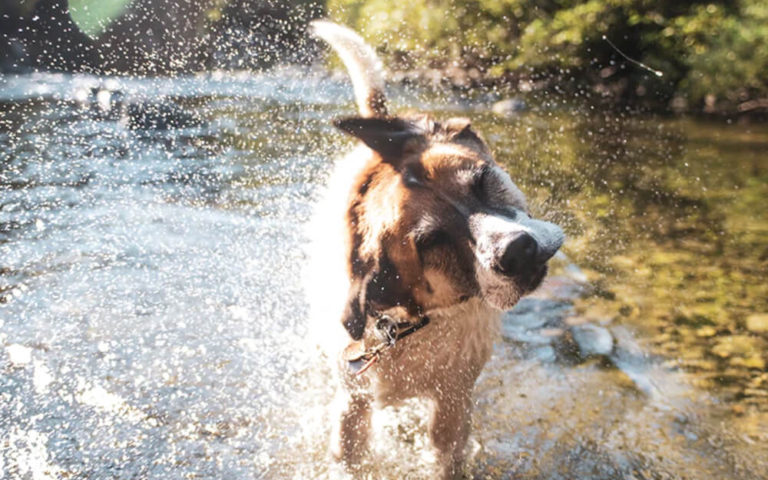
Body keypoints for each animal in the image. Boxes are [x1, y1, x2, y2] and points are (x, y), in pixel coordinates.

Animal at [306, 20, 564, 478]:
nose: (517, 250)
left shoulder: (453, 403)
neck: (406, 323)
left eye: (482, 180)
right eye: (432, 241)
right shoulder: (353, 407)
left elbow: (449, 453)